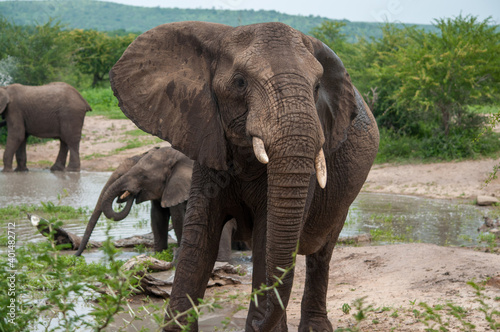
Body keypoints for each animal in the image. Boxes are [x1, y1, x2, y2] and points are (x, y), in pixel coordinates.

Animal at [110, 22, 378, 330]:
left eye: (316, 87)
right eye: (240, 83)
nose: (257, 322)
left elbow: (266, 240)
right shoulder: (207, 141)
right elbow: (199, 241)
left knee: (321, 253)